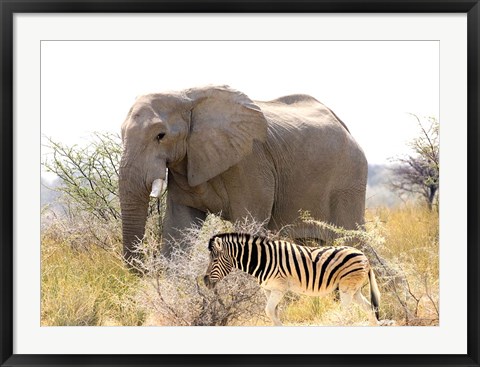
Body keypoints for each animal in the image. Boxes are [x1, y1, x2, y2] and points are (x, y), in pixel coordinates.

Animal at [120, 85, 368, 264]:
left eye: (160, 136)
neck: (187, 98)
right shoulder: (187, 160)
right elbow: (179, 224)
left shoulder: (250, 162)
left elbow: (248, 222)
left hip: (348, 180)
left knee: (355, 241)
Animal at [202, 233, 378, 328]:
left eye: (214, 260)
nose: (204, 282)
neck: (263, 260)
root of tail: (364, 256)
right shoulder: (268, 290)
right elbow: (273, 313)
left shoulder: (279, 288)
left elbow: (269, 311)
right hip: (354, 290)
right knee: (370, 307)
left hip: (346, 288)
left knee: (346, 312)